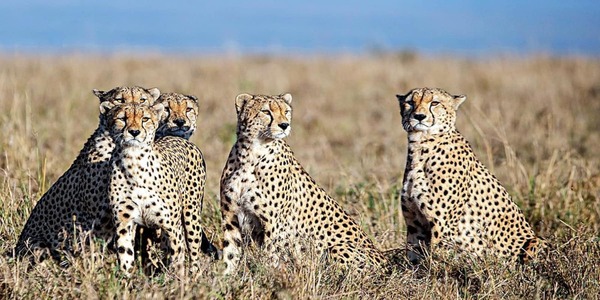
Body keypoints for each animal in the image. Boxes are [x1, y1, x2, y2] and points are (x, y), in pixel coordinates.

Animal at [105, 102, 211, 276]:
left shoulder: (172, 225)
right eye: (122, 118)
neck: (134, 162)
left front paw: (178, 281)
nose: (134, 132)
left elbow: (177, 258)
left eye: (145, 119)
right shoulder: (124, 223)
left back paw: (194, 275)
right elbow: (125, 256)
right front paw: (126, 281)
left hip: (191, 215)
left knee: (193, 251)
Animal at [220, 93, 390, 274]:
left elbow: (269, 257)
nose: (284, 125)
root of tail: (386, 262)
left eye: (286, 111)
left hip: (337, 248)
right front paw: (226, 278)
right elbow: (230, 253)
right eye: (266, 111)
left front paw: (266, 276)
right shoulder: (230, 217)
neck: (251, 154)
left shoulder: (273, 225)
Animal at [396, 87, 540, 264]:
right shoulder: (415, 224)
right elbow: (413, 257)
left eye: (435, 103)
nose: (419, 116)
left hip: (535, 241)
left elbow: (436, 260)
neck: (421, 145)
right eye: (410, 102)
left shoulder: (443, 227)